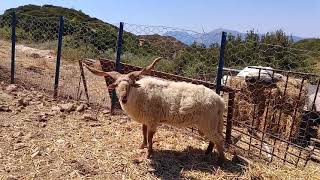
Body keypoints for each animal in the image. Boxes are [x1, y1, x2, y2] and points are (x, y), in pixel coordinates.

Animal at [82, 58, 228, 165]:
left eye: (130, 85)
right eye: (117, 85)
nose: (123, 99)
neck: (139, 94)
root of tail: (220, 101)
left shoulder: (153, 120)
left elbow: (150, 135)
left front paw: (149, 153)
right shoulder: (145, 119)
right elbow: (143, 131)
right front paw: (143, 145)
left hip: (208, 122)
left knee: (218, 139)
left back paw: (220, 161)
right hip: (212, 123)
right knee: (214, 139)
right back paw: (207, 154)